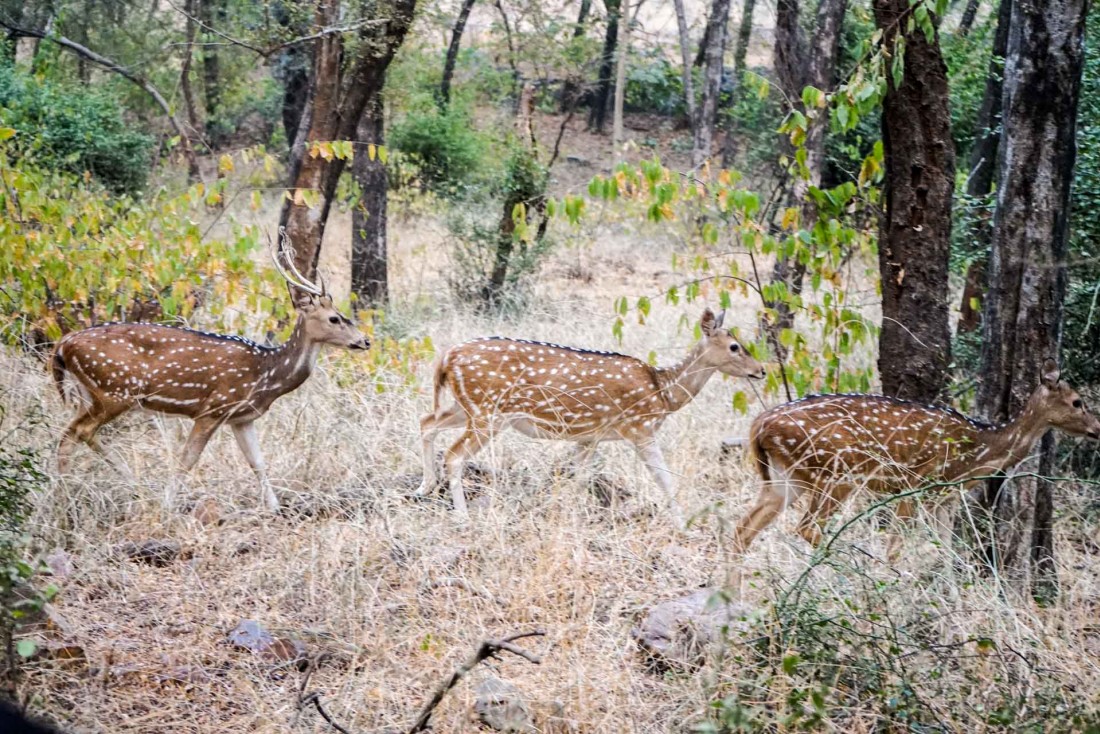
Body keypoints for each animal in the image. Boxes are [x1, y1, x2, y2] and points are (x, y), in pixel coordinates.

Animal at [52, 239, 369, 510]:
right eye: (335, 318)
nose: (365, 341)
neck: (266, 375)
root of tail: (62, 345)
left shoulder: (241, 418)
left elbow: (258, 462)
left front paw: (275, 508)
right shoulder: (213, 408)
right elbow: (188, 459)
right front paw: (167, 505)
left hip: (90, 393)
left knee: (70, 433)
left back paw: (75, 492)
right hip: (114, 390)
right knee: (79, 432)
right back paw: (106, 484)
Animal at [413, 308, 765, 526]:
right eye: (735, 346)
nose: (761, 370)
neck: (663, 392)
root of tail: (446, 357)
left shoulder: (589, 436)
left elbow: (575, 477)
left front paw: (561, 513)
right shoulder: (640, 428)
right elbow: (664, 477)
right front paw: (684, 523)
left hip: (467, 407)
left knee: (427, 421)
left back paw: (424, 487)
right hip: (488, 412)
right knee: (454, 454)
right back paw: (461, 515)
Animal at [730, 356, 1100, 556]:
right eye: (1077, 401)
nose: (1097, 428)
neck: (977, 452)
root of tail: (759, 425)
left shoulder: (943, 499)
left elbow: (943, 553)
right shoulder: (916, 485)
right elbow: (896, 548)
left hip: (785, 477)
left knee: (743, 529)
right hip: (835, 472)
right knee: (806, 528)